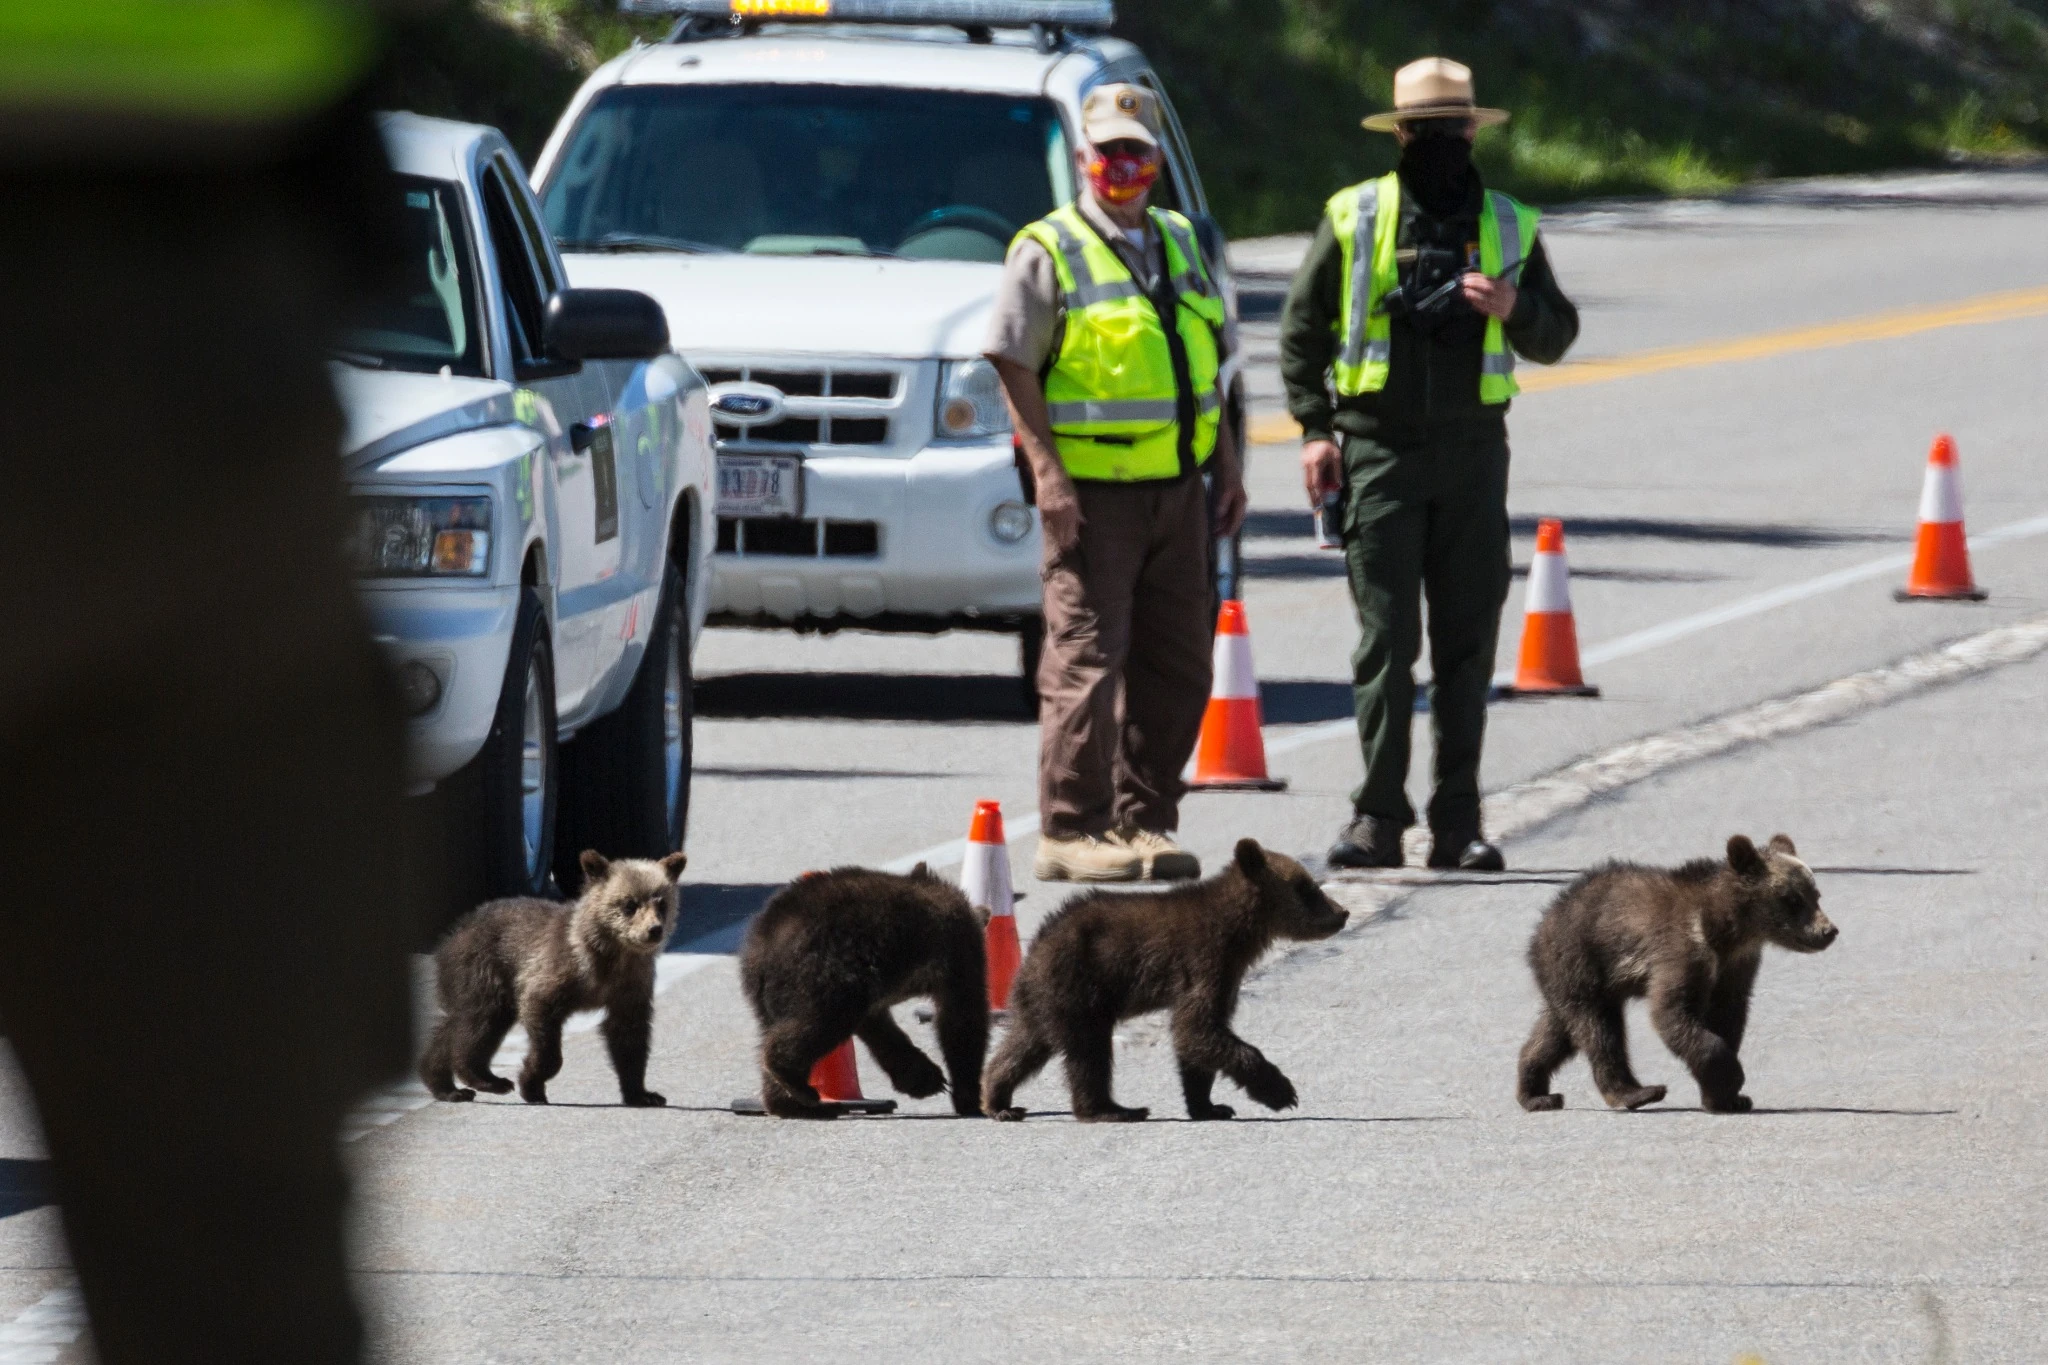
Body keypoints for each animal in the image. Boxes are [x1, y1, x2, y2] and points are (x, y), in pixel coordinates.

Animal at [419, 849, 687, 1107]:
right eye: (629, 904)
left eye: (661, 903)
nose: (654, 929)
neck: (610, 956)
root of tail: (454, 933)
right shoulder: (555, 974)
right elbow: (543, 1027)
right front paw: (530, 1084)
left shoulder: (630, 985)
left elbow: (629, 1036)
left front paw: (644, 1094)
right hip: (483, 969)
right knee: (479, 1020)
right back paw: (486, 1079)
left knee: (456, 1023)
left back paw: (445, 1086)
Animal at [739, 863, 989, 1119]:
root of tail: (764, 942)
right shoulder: (957, 955)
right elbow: (962, 1017)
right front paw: (969, 1098)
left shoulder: (880, 992)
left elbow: (881, 1028)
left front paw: (923, 1078)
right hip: (829, 972)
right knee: (822, 1019)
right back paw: (795, 1081)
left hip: (773, 995)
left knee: (773, 1027)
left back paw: (791, 1103)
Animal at [982, 838, 1349, 1123]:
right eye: (1306, 887)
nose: (1342, 913)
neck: (1239, 932)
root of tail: (1036, 945)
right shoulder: (1205, 961)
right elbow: (1197, 1028)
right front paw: (1281, 1091)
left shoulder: (1226, 974)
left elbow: (1197, 1038)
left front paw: (1210, 1106)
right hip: (1080, 986)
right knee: (1089, 1053)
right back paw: (1112, 1109)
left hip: (1047, 999)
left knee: (1025, 1044)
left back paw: (998, 1100)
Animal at [1516, 833, 1838, 1115]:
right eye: (1793, 899)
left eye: (1816, 894)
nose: (1828, 931)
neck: (1728, 930)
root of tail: (1544, 921)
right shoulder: (1682, 950)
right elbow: (1673, 1011)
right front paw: (1730, 1080)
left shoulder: (1736, 965)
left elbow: (1728, 1015)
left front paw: (1727, 1098)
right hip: (1580, 958)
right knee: (1599, 1029)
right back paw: (1636, 1092)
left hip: (1569, 978)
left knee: (1558, 1030)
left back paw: (1535, 1093)